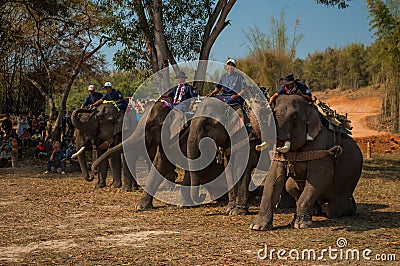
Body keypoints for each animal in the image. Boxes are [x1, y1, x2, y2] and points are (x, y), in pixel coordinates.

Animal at [250, 94, 362, 231]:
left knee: (334, 208)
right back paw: (314, 211)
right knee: (290, 186)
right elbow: (273, 179)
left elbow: (320, 179)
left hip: (351, 178)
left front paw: (301, 225)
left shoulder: (321, 147)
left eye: (294, 117)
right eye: (274, 111)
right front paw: (257, 227)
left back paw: (348, 210)